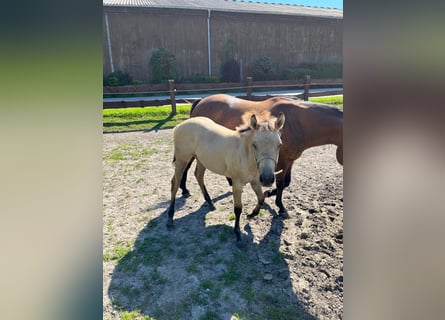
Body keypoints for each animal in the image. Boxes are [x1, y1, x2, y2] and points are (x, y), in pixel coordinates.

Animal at [166, 111, 284, 241]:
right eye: (254, 144)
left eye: (279, 145)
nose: (267, 179)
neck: (245, 154)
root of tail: (179, 125)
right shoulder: (237, 184)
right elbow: (238, 208)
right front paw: (237, 233)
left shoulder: (255, 181)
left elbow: (261, 198)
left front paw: (252, 214)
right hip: (182, 159)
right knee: (175, 183)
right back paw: (170, 218)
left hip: (201, 159)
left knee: (198, 175)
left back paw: (210, 203)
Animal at [179, 92, 342, 218]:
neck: (298, 122)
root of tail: (201, 101)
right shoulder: (281, 162)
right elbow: (281, 183)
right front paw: (280, 206)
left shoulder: (289, 161)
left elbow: (286, 182)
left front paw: (269, 194)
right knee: (185, 166)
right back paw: (184, 189)